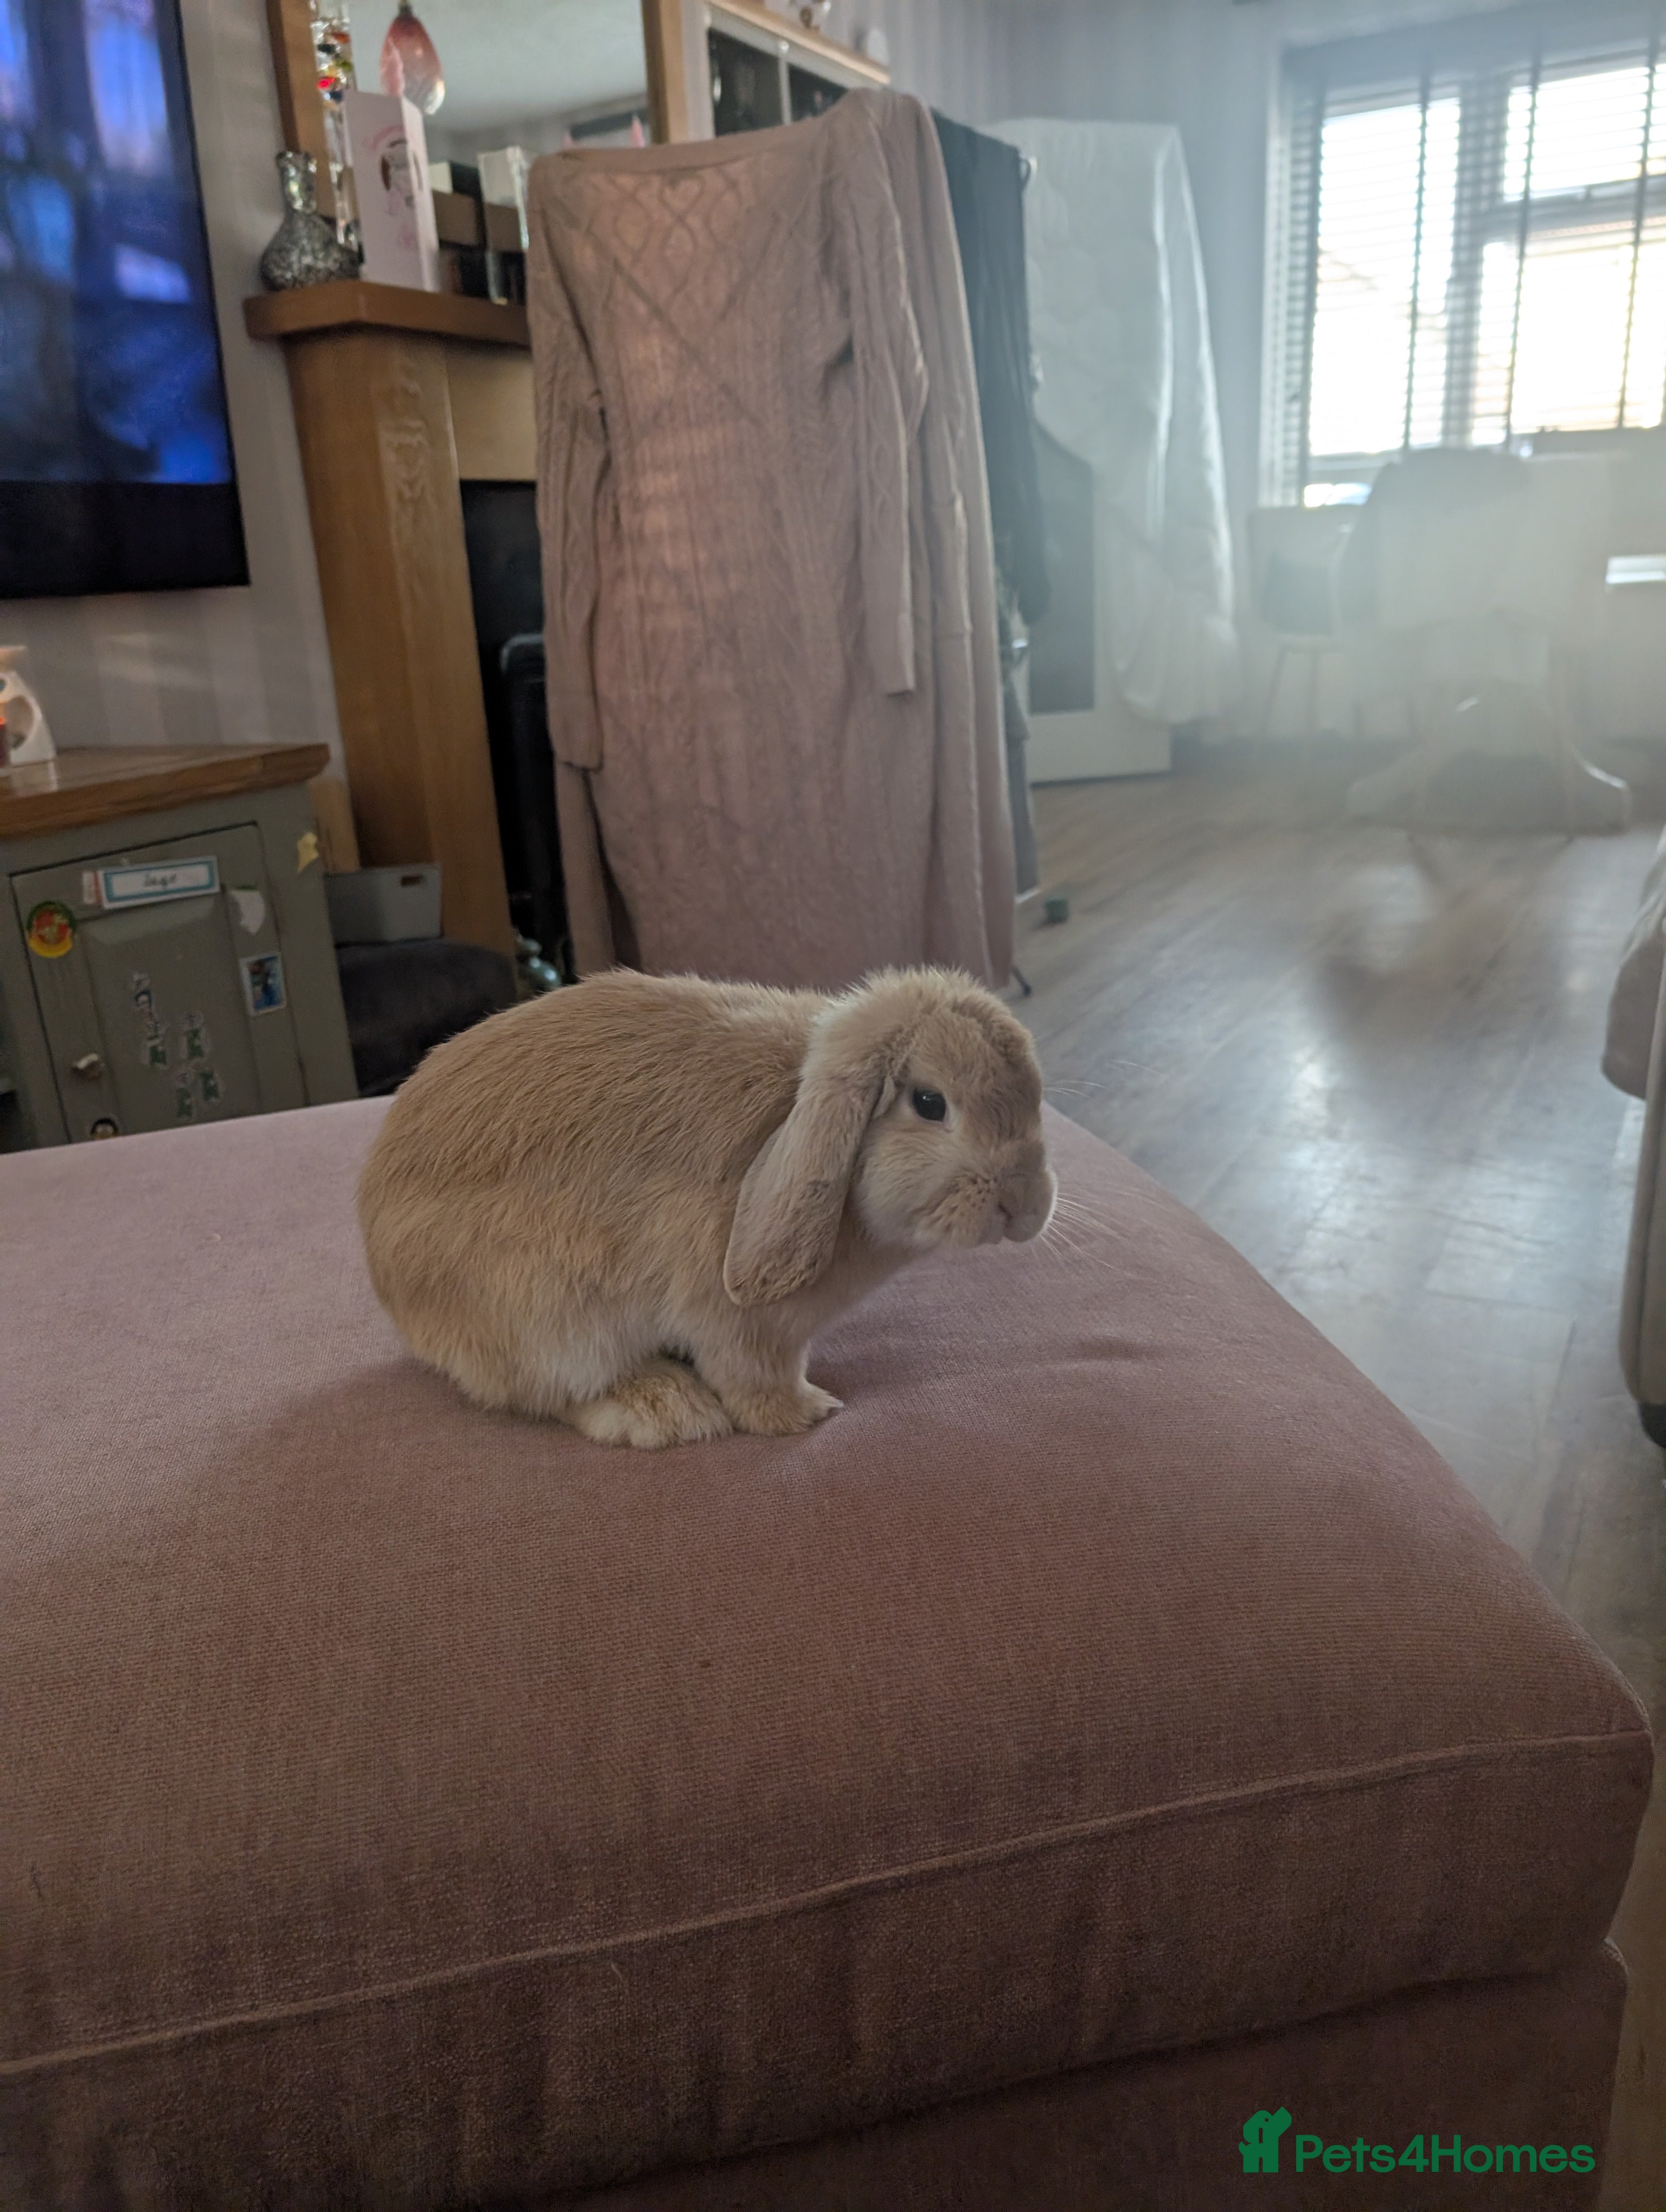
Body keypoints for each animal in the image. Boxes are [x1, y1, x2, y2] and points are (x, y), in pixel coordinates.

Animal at [358, 966, 1056, 1448]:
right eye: (931, 1104)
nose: (1024, 1203)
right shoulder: (742, 1325)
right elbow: (754, 1375)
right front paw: (804, 1415)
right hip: (544, 1312)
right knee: (551, 1391)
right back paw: (666, 1411)